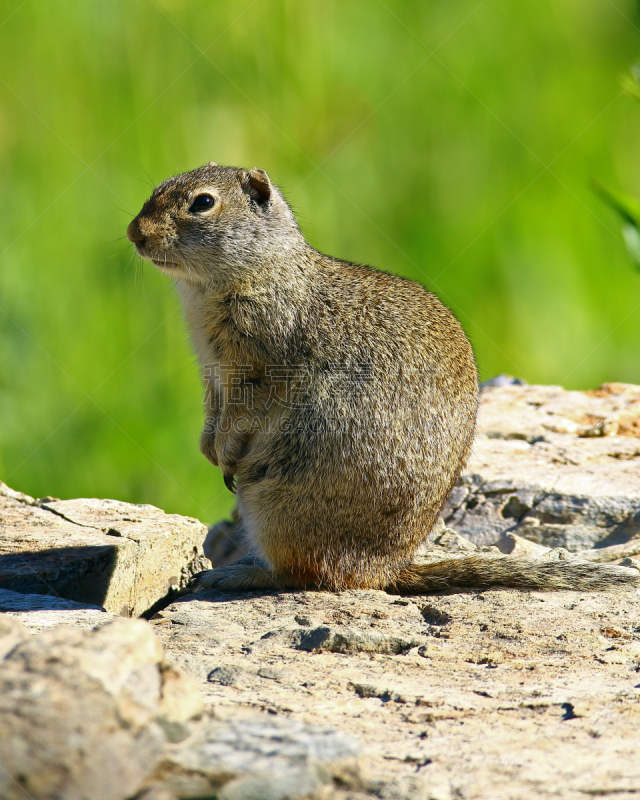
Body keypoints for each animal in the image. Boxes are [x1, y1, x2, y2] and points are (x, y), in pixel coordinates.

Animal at [127, 162, 636, 592]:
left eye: (202, 203)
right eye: (157, 188)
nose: (134, 232)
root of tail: (388, 569)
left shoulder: (260, 367)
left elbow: (243, 415)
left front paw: (226, 455)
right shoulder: (212, 374)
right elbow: (213, 414)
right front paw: (208, 449)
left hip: (277, 509)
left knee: (308, 576)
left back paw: (236, 575)